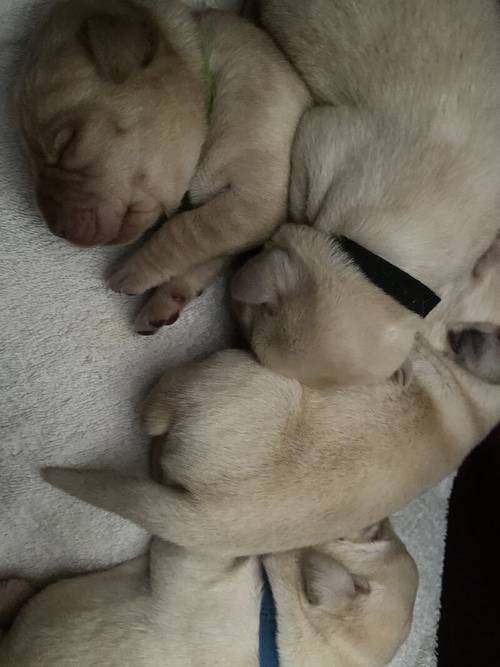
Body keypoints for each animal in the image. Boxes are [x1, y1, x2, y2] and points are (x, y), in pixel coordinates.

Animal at [16, 0, 308, 334]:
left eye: (67, 144)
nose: (57, 231)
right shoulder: (242, 220)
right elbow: (213, 251)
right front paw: (169, 297)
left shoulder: (255, 200)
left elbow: (189, 228)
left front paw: (135, 270)